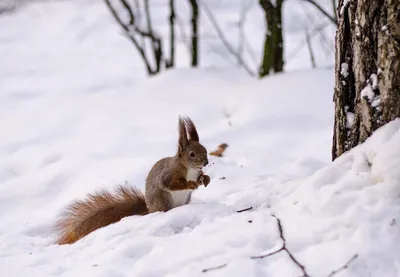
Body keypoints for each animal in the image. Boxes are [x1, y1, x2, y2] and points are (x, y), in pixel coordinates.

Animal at [56, 116, 212, 244]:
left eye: (205, 150)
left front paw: (205, 179)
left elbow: (200, 177)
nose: (205, 163)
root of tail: (150, 210)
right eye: (192, 154)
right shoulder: (169, 174)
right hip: (163, 200)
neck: (190, 169)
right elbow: (171, 184)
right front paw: (190, 184)